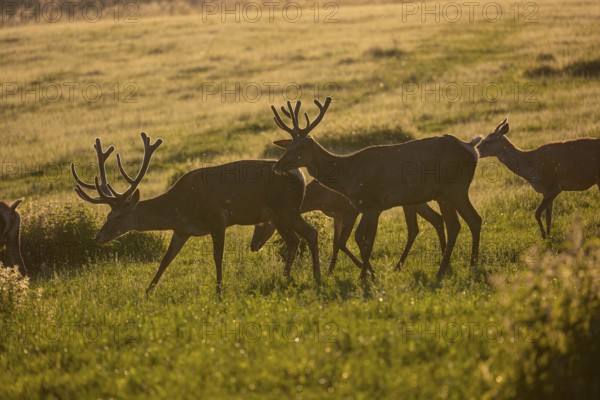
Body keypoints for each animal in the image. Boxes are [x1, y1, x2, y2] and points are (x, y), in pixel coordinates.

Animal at [71, 133, 322, 292]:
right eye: (106, 215)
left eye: (118, 216)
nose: (98, 236)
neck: (180, 207)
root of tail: (300, 175)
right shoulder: (181, 231)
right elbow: (165, 260)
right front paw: (147, 292)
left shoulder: (217, 220)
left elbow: (217, 257)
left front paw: (219, 291)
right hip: (278, 215)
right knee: (294, 240)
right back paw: (287, 277)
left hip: (287, 209)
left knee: (309, 233)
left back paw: (315, 277)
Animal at [250, 180, 446, 274]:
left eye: (261, 224)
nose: (253, 246)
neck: (320, 198)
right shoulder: (337, 215)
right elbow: (336, 244)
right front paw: (330, 271)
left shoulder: (350, 212)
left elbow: (343, 242)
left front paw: (366, 268)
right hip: (415, 202)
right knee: (435, 219)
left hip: (410, 202)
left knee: (416, 227)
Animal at [270, 97, 480, 278]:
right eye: (287, 146)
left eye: (299, 148)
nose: (277, 165)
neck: (349, 176)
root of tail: (472, 150)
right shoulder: (363, 206)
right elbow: (358, 238)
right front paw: (369, 273)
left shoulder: (374, 204)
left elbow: (367, 240)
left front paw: (364, 276)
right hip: (442, 195)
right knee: (457, 224)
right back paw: (450, 268)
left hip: (456, 188)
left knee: (471, 220)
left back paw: (467, 266)